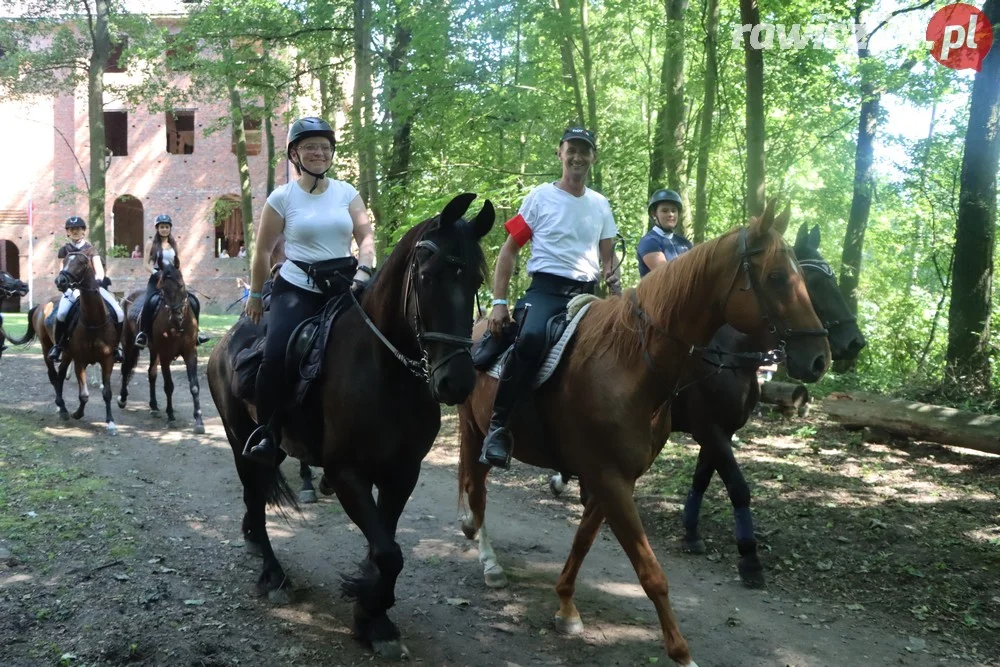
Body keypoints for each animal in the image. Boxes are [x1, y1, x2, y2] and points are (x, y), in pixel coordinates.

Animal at [6, 250, 120, 434]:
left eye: (81, 262)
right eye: (65, 260)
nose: (60, 281)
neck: (93, 321)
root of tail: (40, 306)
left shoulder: (107, 359)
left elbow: (107, 392)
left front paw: (110, 422)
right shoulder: (80, 360)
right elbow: (84, 395)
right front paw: (78, 413)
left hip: (66, 354)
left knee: (60, 374)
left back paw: (63, 407)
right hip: (47, 348)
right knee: (53, 375)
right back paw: (62, 408)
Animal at [117, 264, 203, 436]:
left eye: (181, 286)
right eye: (163, 289)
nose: (176, 318)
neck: (178, 328)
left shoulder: (190, 353)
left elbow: (194, 386)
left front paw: (198, 420)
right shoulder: (165, 355)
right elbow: (169, 386)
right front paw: (171, 416)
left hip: (153, 351)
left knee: (151, 374)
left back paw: (154, 406)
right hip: (129, 344)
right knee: (126, 368)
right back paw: (123, 399)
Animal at [208, 192, 496, 656]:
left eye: (474, 280)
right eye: (428, 277)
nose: (457, 382)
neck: (386, 371)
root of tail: (225, 343)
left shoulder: (402, 474)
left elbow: (386, 546)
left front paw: (373, 612)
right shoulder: (346, 473)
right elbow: (388, 552)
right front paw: (372, 614)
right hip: (240, 441)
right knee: (254, 493)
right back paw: (273, 574)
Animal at [458, 205, 832, 667]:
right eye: (778, 276)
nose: (820, 359)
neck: (630, 362)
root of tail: (479, 328)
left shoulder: (617, 477)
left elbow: (583, 542)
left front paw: (566, 607)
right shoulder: (613, 476)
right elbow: (651, 573)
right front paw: (682, 652)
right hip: (474, 431)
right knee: (476, 489)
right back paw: (488, 560)